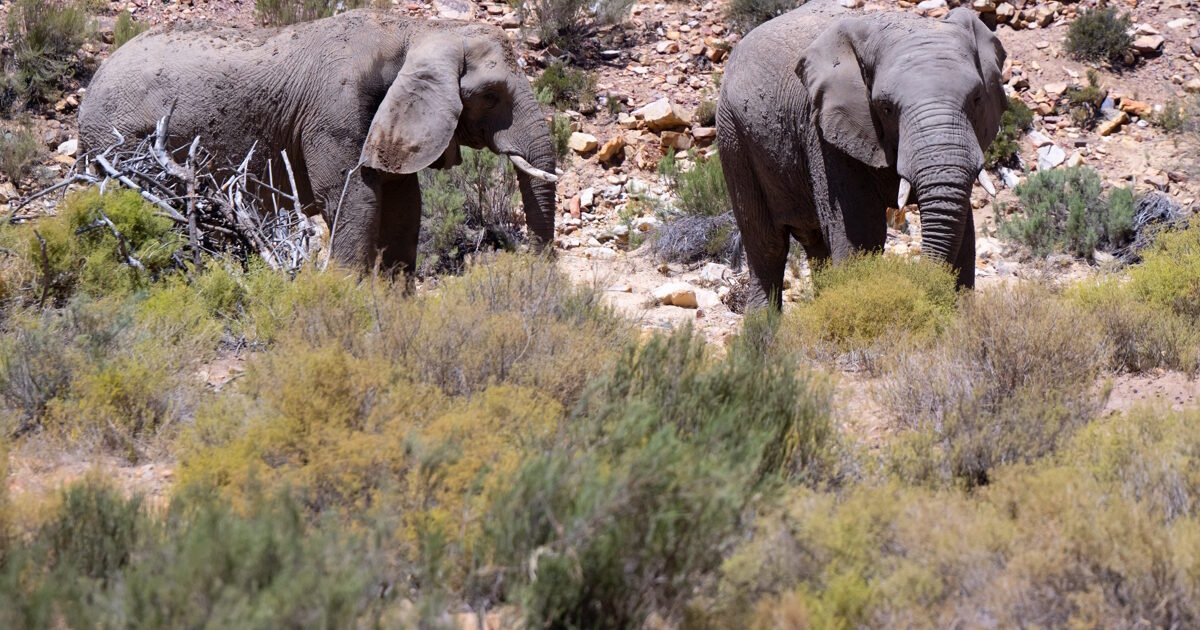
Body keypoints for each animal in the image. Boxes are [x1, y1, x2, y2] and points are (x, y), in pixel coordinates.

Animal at [78, 9, 558, 273]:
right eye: (491, 95)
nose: (534, 266)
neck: (414, 30)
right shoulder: (333, 115)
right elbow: (353, 199)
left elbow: (405, 205)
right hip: (120, 140)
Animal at [716, 1, 1007, 307]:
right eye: (887, 107)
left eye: (977, 98)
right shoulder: (825, 131)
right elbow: (862, 233)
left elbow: (964, 235)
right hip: (733, 136)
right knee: (767, 246)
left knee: (814, 242)